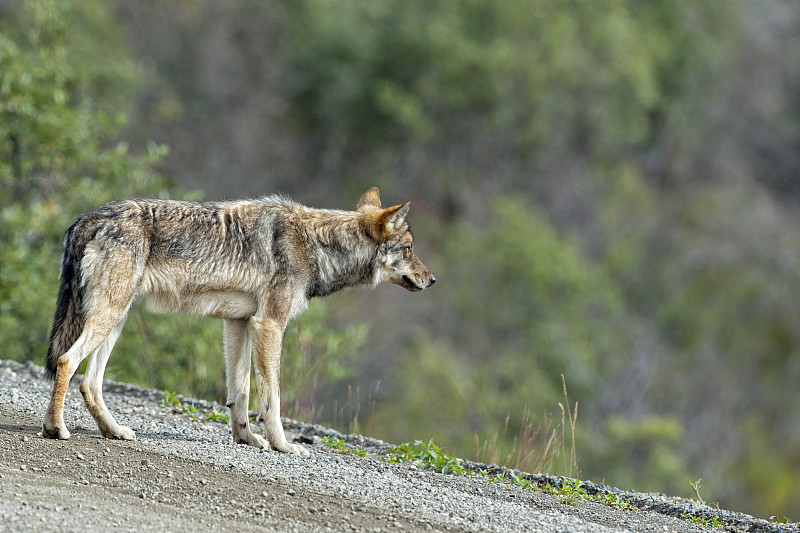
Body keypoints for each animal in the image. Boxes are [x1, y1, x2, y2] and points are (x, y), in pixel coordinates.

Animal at [40, 187, 434, 454]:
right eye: (410, 249)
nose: (432, 280)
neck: (316, 244)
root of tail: (91, 216)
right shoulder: (269, 325)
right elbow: (272, 399)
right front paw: (283, 445)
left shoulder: (239, 322)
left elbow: (239, 393)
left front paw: (246, 438)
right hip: (108, 317)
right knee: (67, 362)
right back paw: (55, 428)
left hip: (115, 320)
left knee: (90, 382)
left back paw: (114, 431)